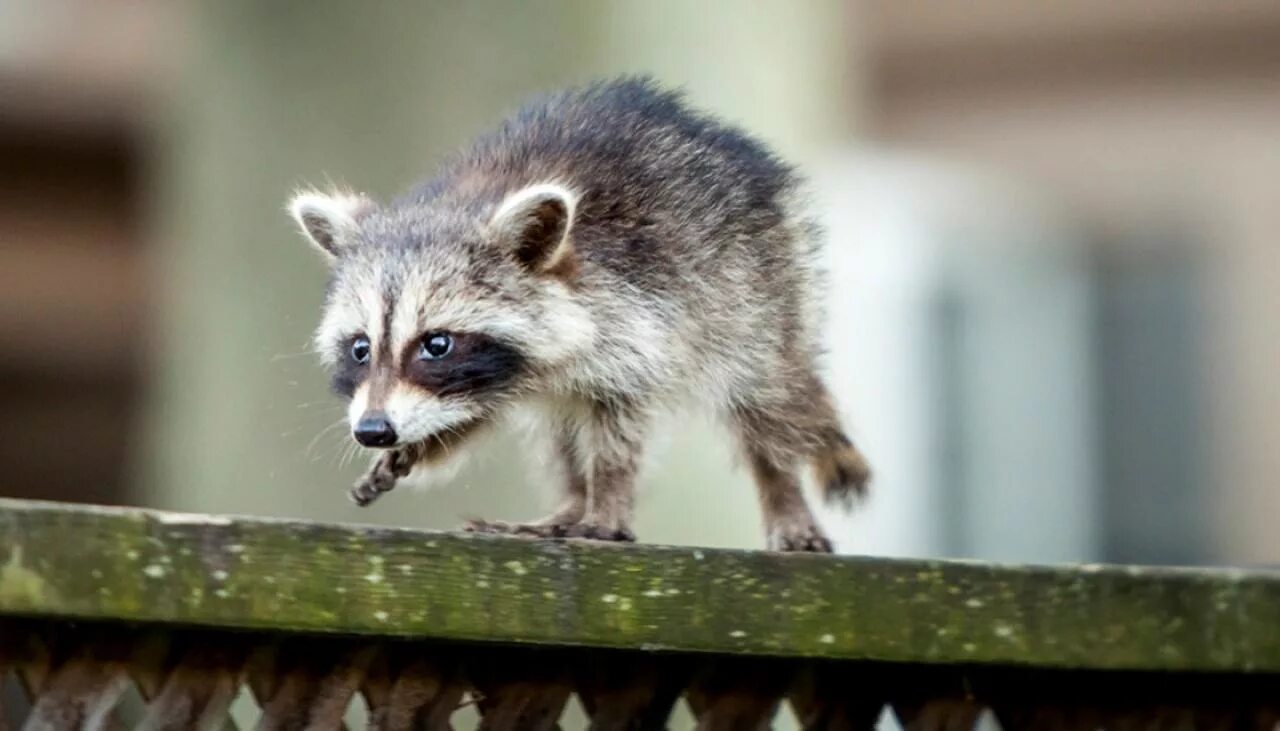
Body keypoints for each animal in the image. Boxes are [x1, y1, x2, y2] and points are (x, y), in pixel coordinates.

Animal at [288, 75, 870, 555]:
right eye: (361, 348)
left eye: (436, 344)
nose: (373, 429)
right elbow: (475, 415)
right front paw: (423, 444)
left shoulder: (637, 318)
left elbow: (620, 425)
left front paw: (608, 501)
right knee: (560, 432)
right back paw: (569, 502)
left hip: (758, 287)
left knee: (770, 398)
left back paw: (781, 491)